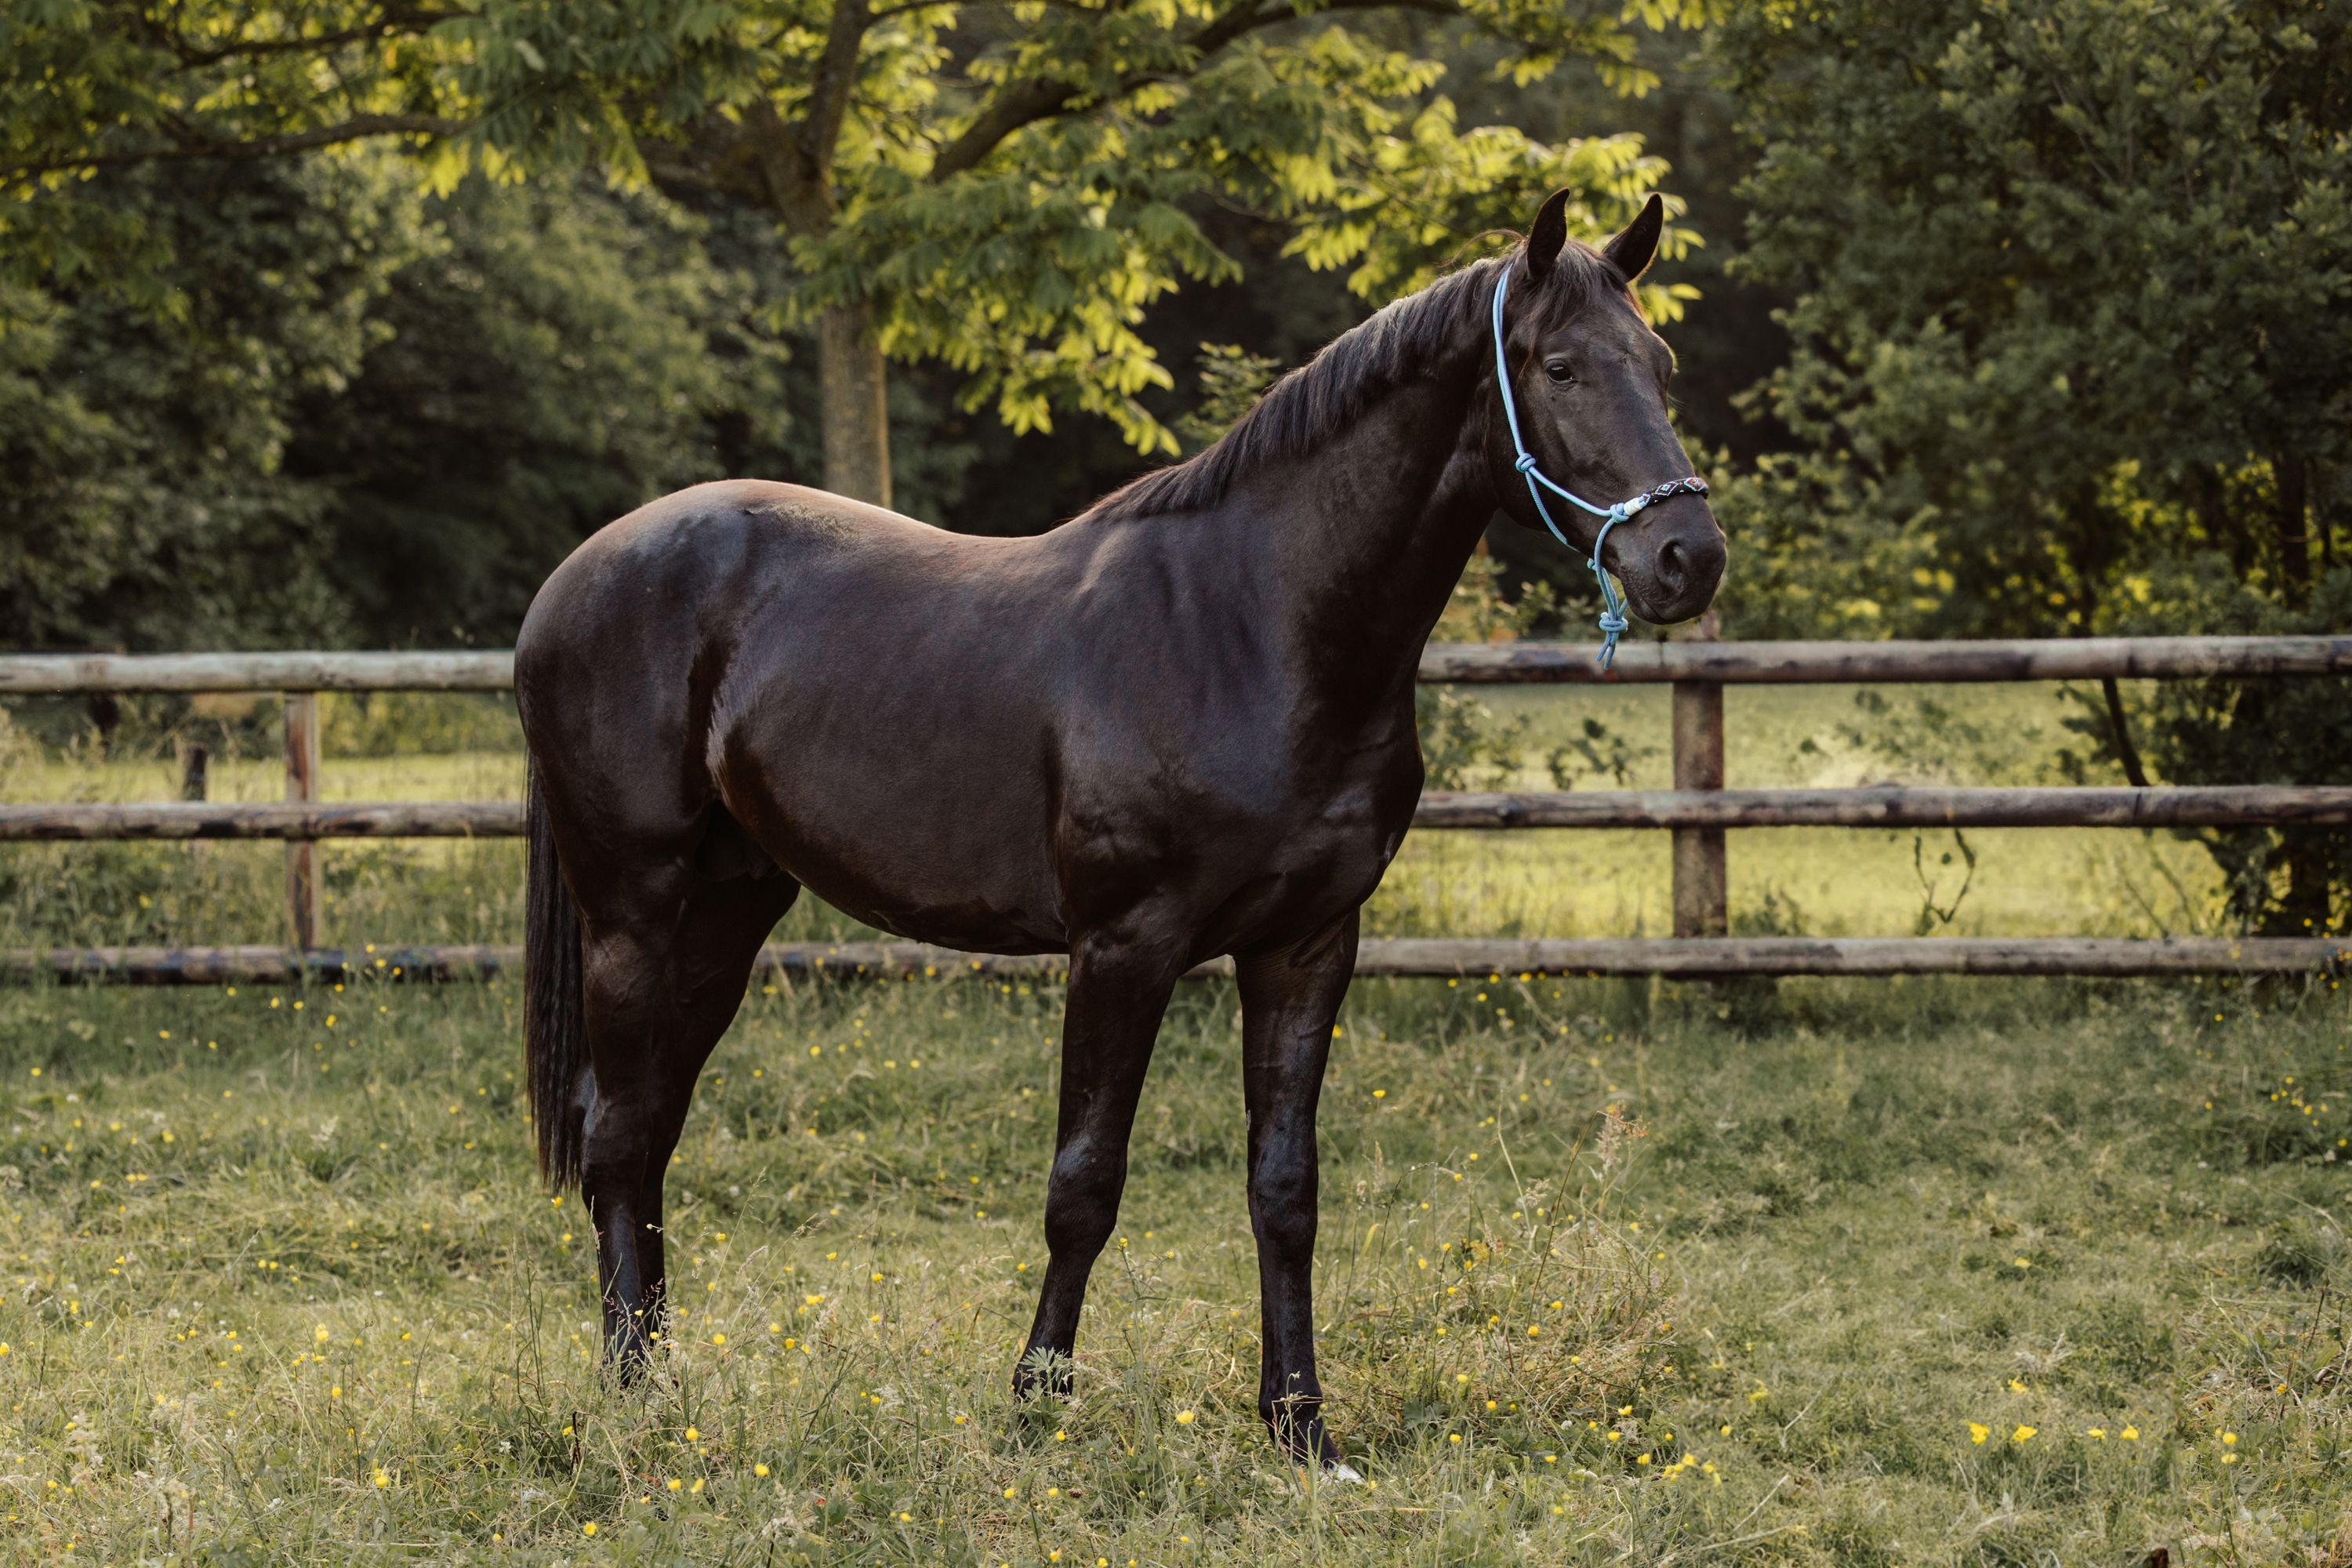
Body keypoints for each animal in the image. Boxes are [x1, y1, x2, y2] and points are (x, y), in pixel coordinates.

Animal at [514, 188, 1726, 1473]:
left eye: (1660, 362)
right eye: (1560, 365)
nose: (1686, 559)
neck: (1253, 626)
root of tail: (577, 575)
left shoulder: (1307, 947)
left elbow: (1285, 1188)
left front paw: (1300, 1425)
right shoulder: (1122, 947)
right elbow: (1084, 1184)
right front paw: (1037, 1401)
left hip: (728, 910)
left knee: (651, 1131)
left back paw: (664, 1372)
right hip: (632, 912)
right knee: (616, 1134)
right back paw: (631, 1391)